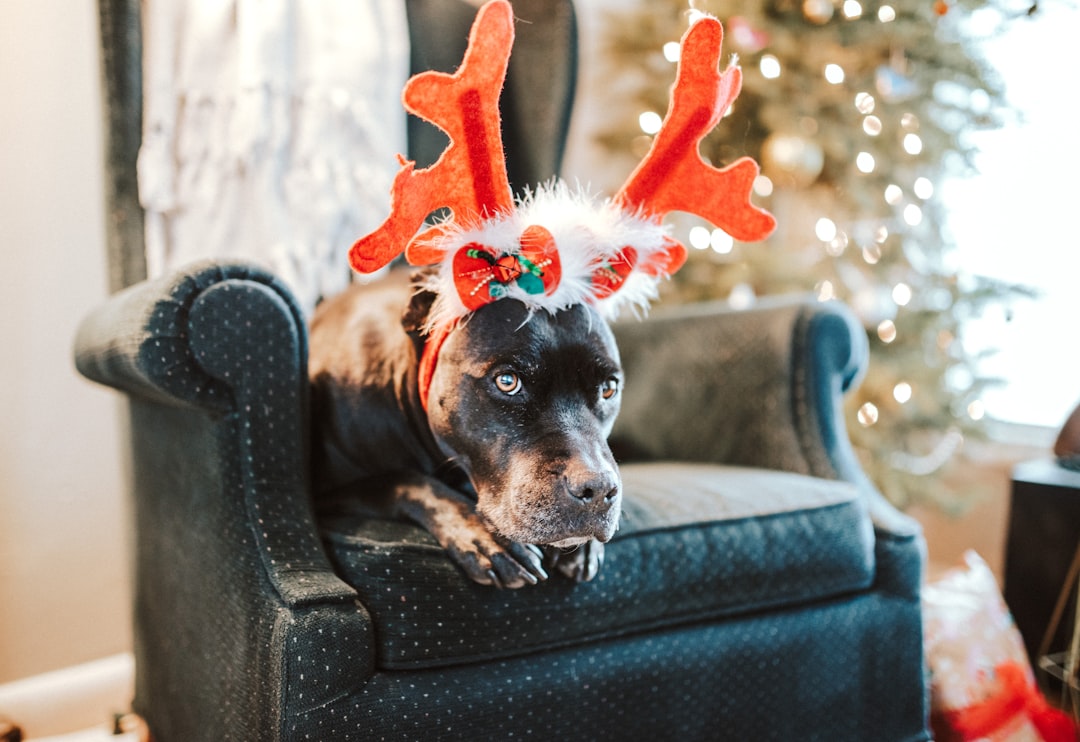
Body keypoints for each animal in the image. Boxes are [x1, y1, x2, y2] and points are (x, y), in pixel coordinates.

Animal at [308, 270, 622, 587]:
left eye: (608, 388)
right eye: (507, 381)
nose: (598, 489)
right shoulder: (323, 494)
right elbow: (405, 480)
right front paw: (484, 536)